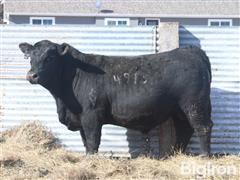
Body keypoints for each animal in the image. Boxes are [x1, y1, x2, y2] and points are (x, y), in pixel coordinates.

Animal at [19, 40, 213, 155]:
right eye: (30, 57)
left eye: (50, 57)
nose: (32, 75)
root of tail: (191, 50)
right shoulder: (80, 118)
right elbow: (85, 141)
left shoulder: (91, 115)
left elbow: (92, 140)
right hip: (179, 109)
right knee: (184, 129)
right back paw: (175, 155)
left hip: (195, 104)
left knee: (202, 128)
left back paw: (203, 156)